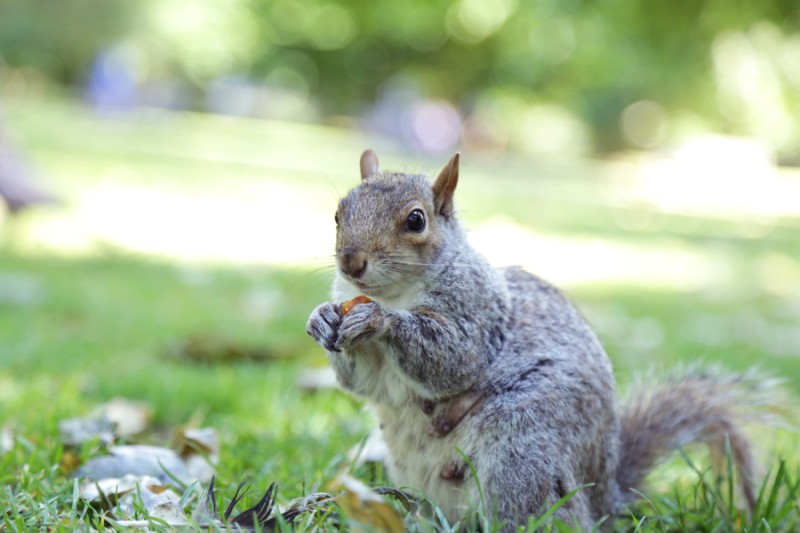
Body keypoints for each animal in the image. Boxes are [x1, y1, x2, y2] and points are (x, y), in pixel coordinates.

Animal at [304, 149, 776, 528]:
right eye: (338, 214)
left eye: (416, 220)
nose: (351, 262)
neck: (395, 292)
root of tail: (603, 495)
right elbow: (360, 382)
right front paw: (321, 318)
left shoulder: (477, 313)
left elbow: (452, 357)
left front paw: (380, 319)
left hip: (522, 451)